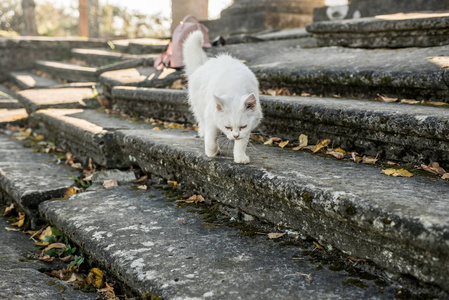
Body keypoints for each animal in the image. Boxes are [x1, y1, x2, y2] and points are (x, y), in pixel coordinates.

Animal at [182, 30, 262, 164]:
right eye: (228, 127)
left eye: (243, 126)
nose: (235, 136)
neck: (235, 89)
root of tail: (205, 64)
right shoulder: (211, 119)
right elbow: (211, 140)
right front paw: (212, 152)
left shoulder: (247, 129)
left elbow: (241, 144)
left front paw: (240, 157)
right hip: (200, 108)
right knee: (202, 124)